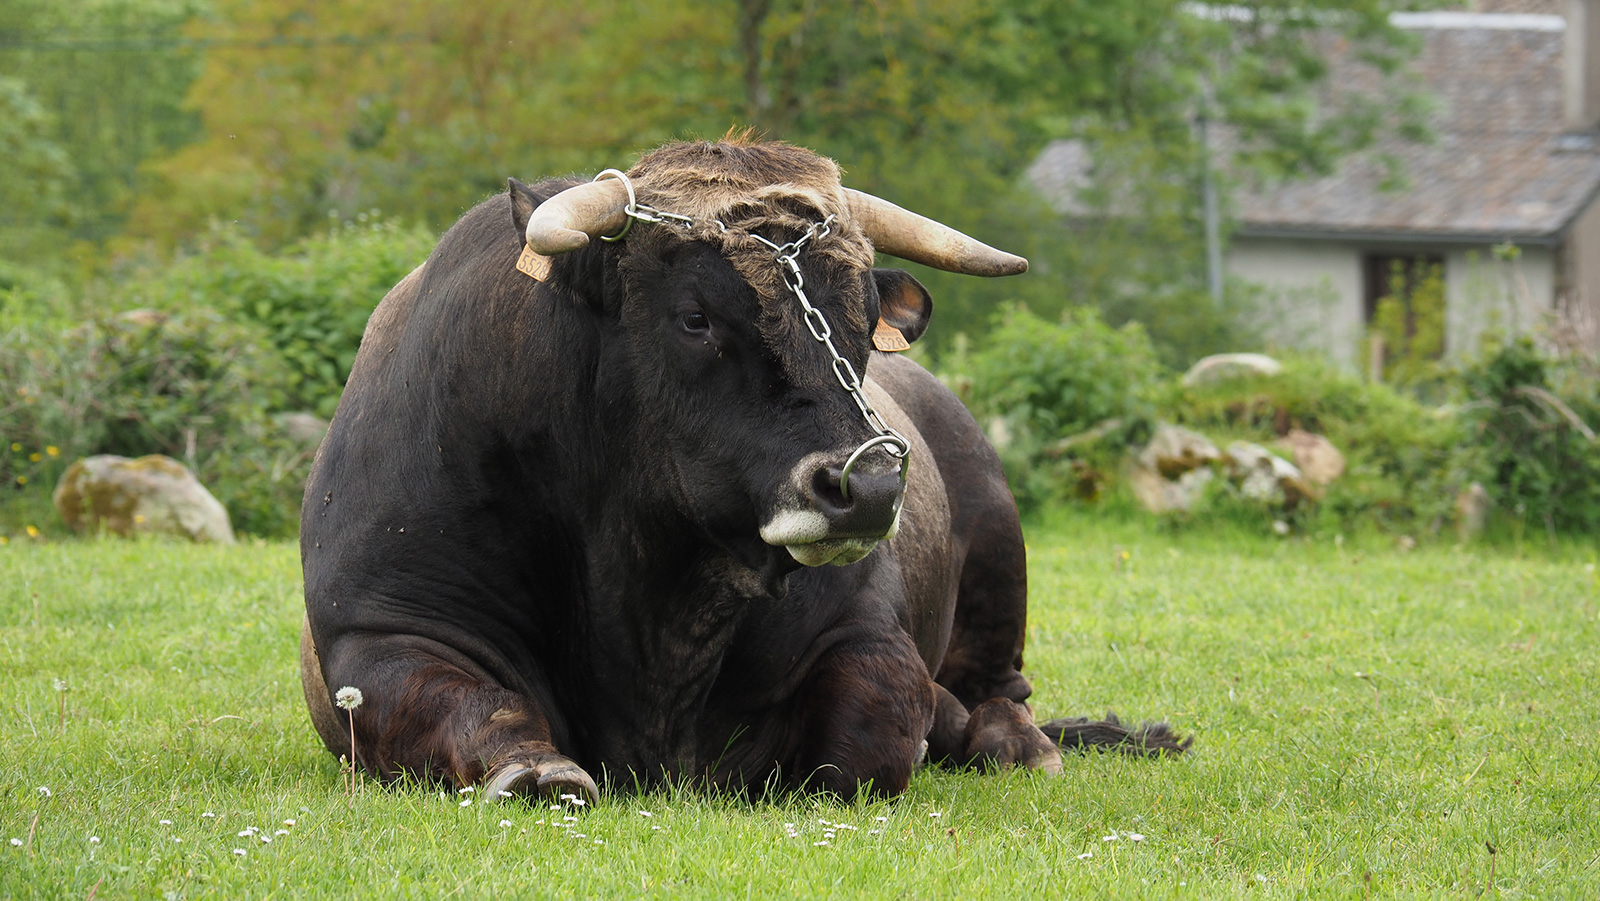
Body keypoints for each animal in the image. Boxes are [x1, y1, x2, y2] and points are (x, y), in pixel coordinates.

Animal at [300, 140, 1190, 803]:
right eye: (694, 317)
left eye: (864, 316)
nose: (869, 487)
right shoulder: (381, 631)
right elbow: (477, 711)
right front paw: (538, 766)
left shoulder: (863, 632)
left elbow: (868, 739)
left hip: (1000, 546)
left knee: (1001, 690)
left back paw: (1010, 737)